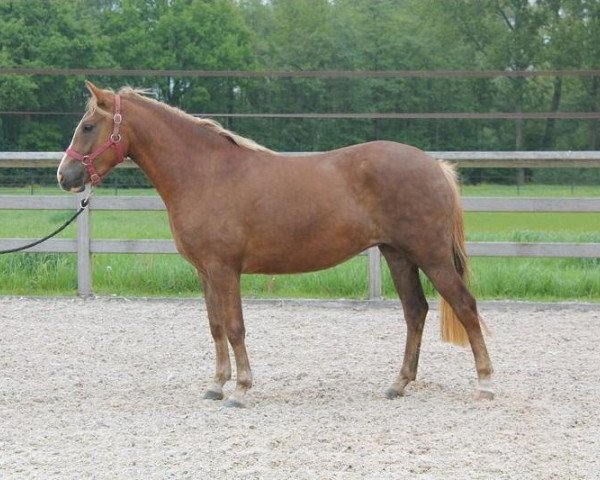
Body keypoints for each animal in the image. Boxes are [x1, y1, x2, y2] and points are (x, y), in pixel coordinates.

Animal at [58, 83, 494, 408]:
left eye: (88, 126)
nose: (65, 175)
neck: (205, 173)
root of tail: (434, 165)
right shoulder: (206, 273)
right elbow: (216, 327)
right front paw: (216, 386)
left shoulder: (225, 270)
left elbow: (235, 327)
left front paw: (241, 389)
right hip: (398, 255)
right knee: (414, 311)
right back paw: (398, 384)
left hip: (431, 256)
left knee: (465, 306)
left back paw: (486, 384)